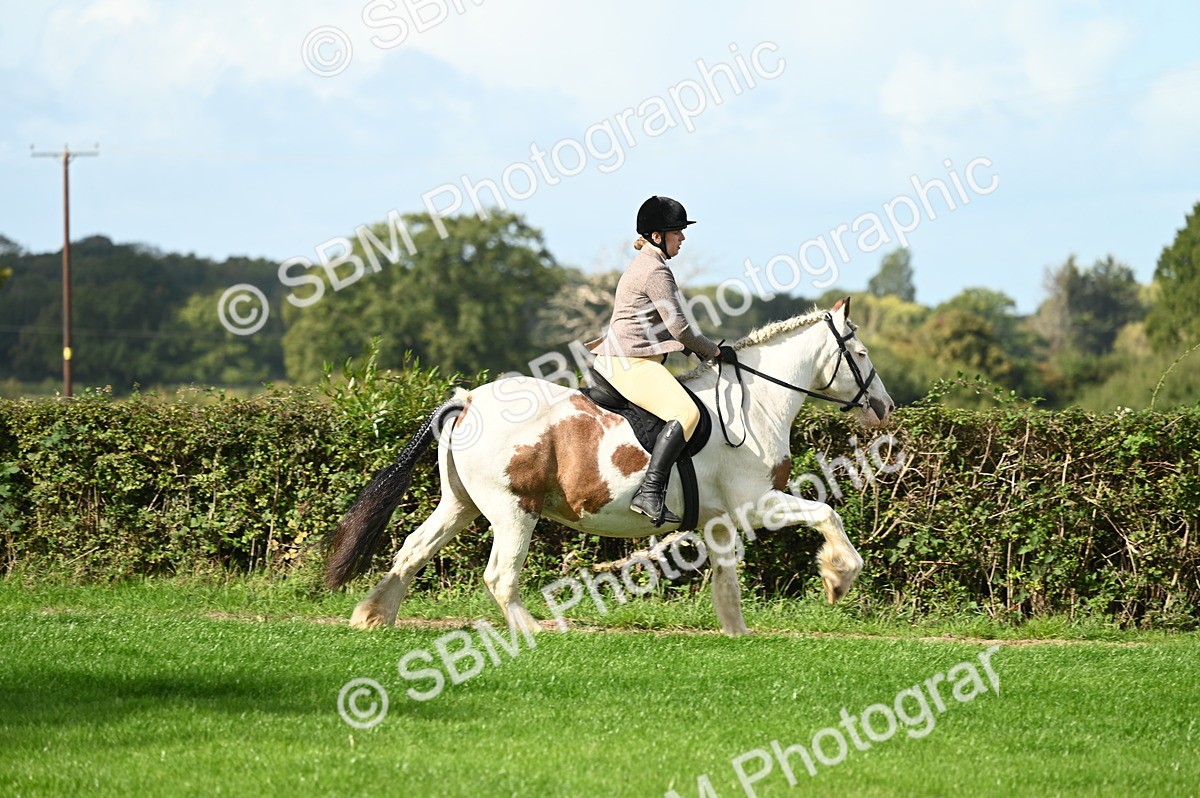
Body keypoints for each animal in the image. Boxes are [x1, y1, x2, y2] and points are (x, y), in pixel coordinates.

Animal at [324, 297, 894, 636]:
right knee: (500, 575)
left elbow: (727, 578)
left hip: (460, 504)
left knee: (412, 550)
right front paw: (838, 577)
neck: (754, 405)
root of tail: (468, 400)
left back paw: (372, 616)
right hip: (513, 510)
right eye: (863, 354)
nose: (885, 407)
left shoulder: (720, 519)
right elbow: (826, 514)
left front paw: (737, 634)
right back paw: (535, 632)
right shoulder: (760, 504)